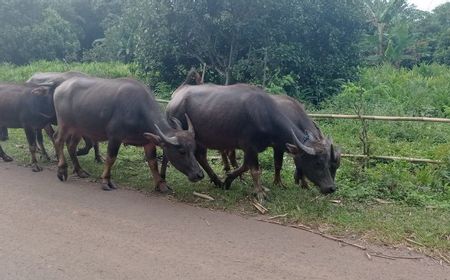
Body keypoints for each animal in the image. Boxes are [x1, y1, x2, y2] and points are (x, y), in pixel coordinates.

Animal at [51, 76, 204, 190]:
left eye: (193, 149)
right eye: (181, 151)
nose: (199, 174)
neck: (138, 111)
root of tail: (60, 87)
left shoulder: (148, 142)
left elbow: (153, 162)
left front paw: (161, 184)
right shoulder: (114, 137)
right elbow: (111, 158)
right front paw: (106, 181)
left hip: (79, 128)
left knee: (71, 145)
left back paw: (80, 171)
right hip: (65, 124)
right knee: (58, 140)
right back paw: (62, 170)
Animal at [163, 83, 336, 201]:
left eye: (328, 162)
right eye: (317, 163)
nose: (331, 187)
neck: (263, 114)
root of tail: (174, 99)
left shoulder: (252, 149)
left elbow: (244, 166)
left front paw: (228, 180)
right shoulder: (250, 147)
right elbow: (255, 170)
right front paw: (259, 193)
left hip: (200, 139)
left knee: (201, 156)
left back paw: (217, 180)